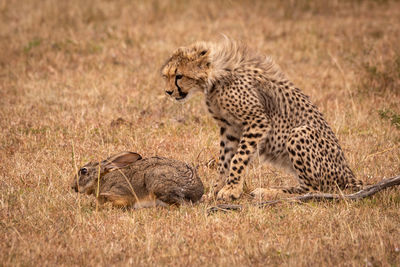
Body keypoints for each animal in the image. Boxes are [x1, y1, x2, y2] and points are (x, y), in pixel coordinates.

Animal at [70, 152, 205, 208]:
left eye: (83, 171)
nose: (73, 187)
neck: (101, 179)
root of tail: (198, 190)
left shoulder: (120, 192)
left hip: (156, 181)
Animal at [159, 39, 362, 201]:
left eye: (179, 76)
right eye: (166, 76)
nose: (168, 92)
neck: (214, 78)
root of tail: (349, 173)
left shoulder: (257, 120)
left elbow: (238, 157)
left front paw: (231, 190)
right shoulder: (230, 128)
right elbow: (224, 160)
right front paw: (216, 189)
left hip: (300, 132)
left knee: (314, 189)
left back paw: (269, 192)